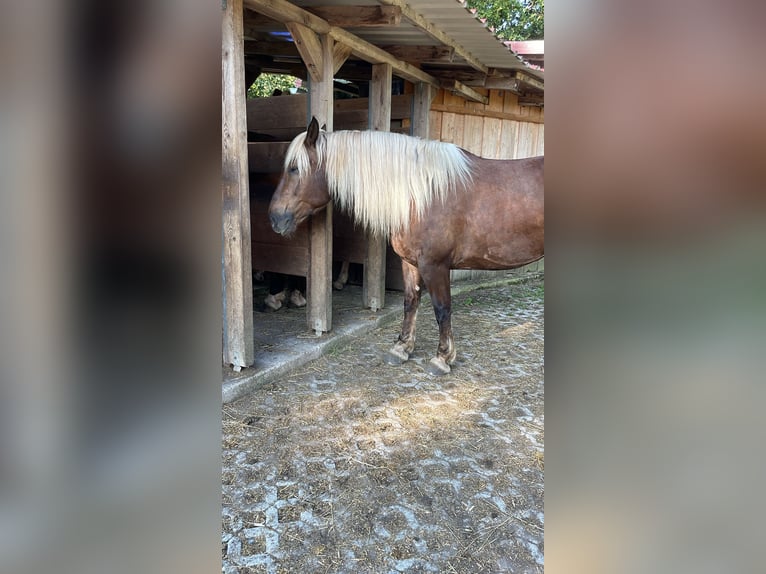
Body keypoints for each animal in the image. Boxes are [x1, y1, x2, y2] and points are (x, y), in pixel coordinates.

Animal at [270, 118, 544, 378]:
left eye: (294, 168)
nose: (275, 218)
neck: (423, 194)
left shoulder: (435, 266)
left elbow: (442, 309)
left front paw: (443, 358)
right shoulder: (411, 263)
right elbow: (410, 302)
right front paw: (402, 348)